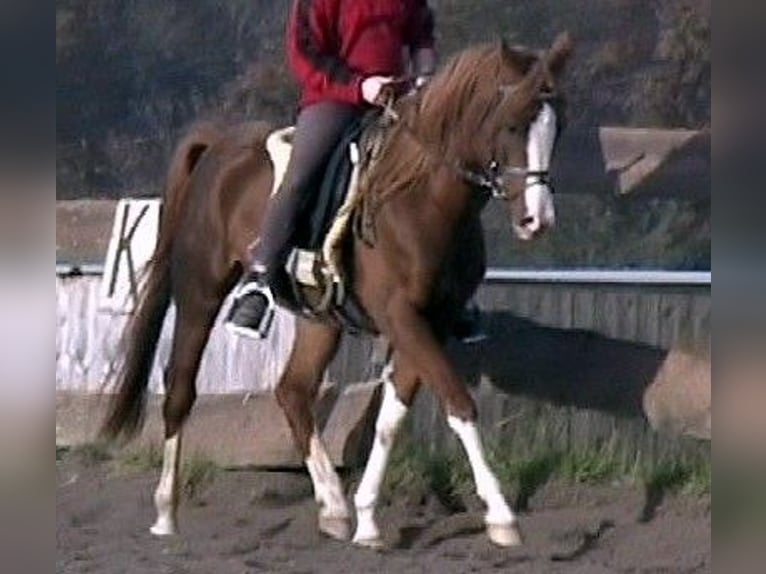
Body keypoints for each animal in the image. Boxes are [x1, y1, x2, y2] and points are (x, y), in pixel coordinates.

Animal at [102, 33, 573, 549]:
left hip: (319, 318)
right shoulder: (401, 315)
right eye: (511, 124)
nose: (537, 220)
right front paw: (502, 516)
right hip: (200, 291)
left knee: (293, 390)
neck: (422, 200)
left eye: (557, 128)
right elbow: (459, 404)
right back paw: (166, 513)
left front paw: (366, 519)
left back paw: (333, 506)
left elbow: (391, 416)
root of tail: (220, 145)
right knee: (181, 387)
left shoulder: (432, 321)